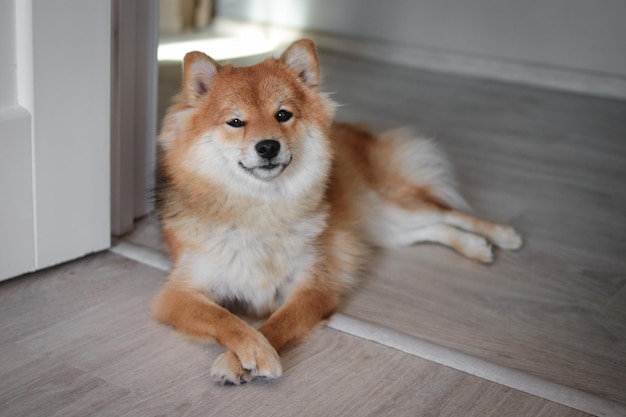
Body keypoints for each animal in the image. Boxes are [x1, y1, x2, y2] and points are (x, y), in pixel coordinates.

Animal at [150, 38, 516, 384]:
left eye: (283, 115)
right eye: (235, 122)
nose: (268, 146)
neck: (263, 207)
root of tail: (357, 130)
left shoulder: (313, 286)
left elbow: (276, 322)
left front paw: (245, 357)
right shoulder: (179, 294)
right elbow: (226, 319)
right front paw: (251, 351)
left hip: (391, 206)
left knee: (446, 212)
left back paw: (500, 235)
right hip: (384, 227)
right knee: (432, 229)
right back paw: (475, 246)